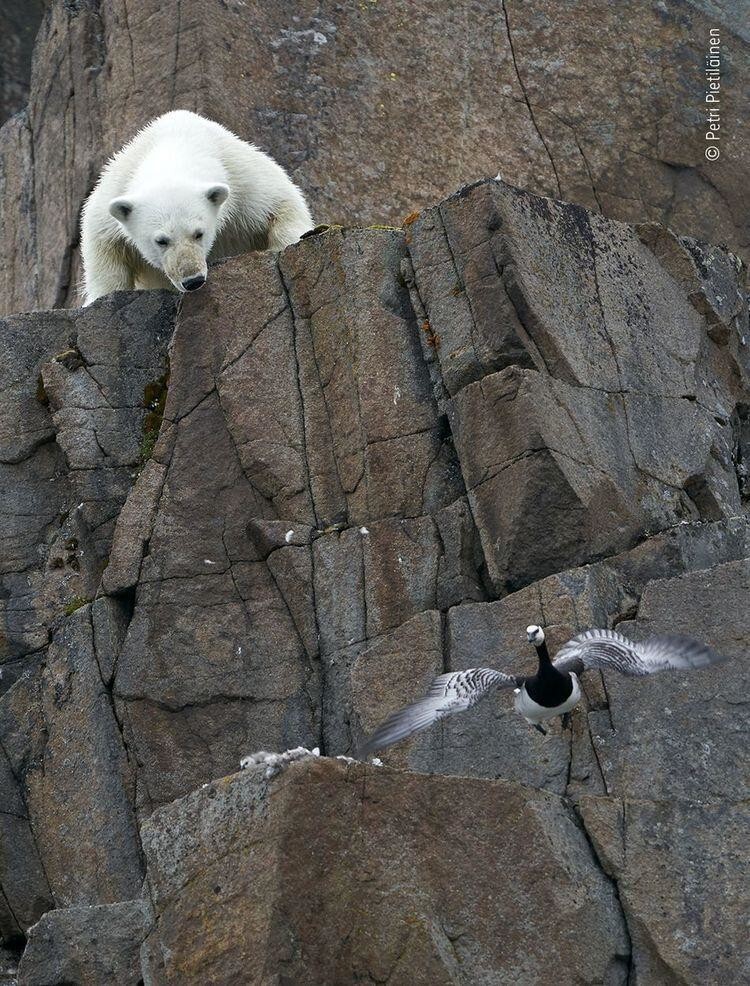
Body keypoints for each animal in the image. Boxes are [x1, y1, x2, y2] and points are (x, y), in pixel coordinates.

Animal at [81, 110, 316, 304]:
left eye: (199, 233)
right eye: (161, 241)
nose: (192, 280)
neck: (176, 144)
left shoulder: (244, 181)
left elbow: (283, 204)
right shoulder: (112, 197)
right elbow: (105, 257)